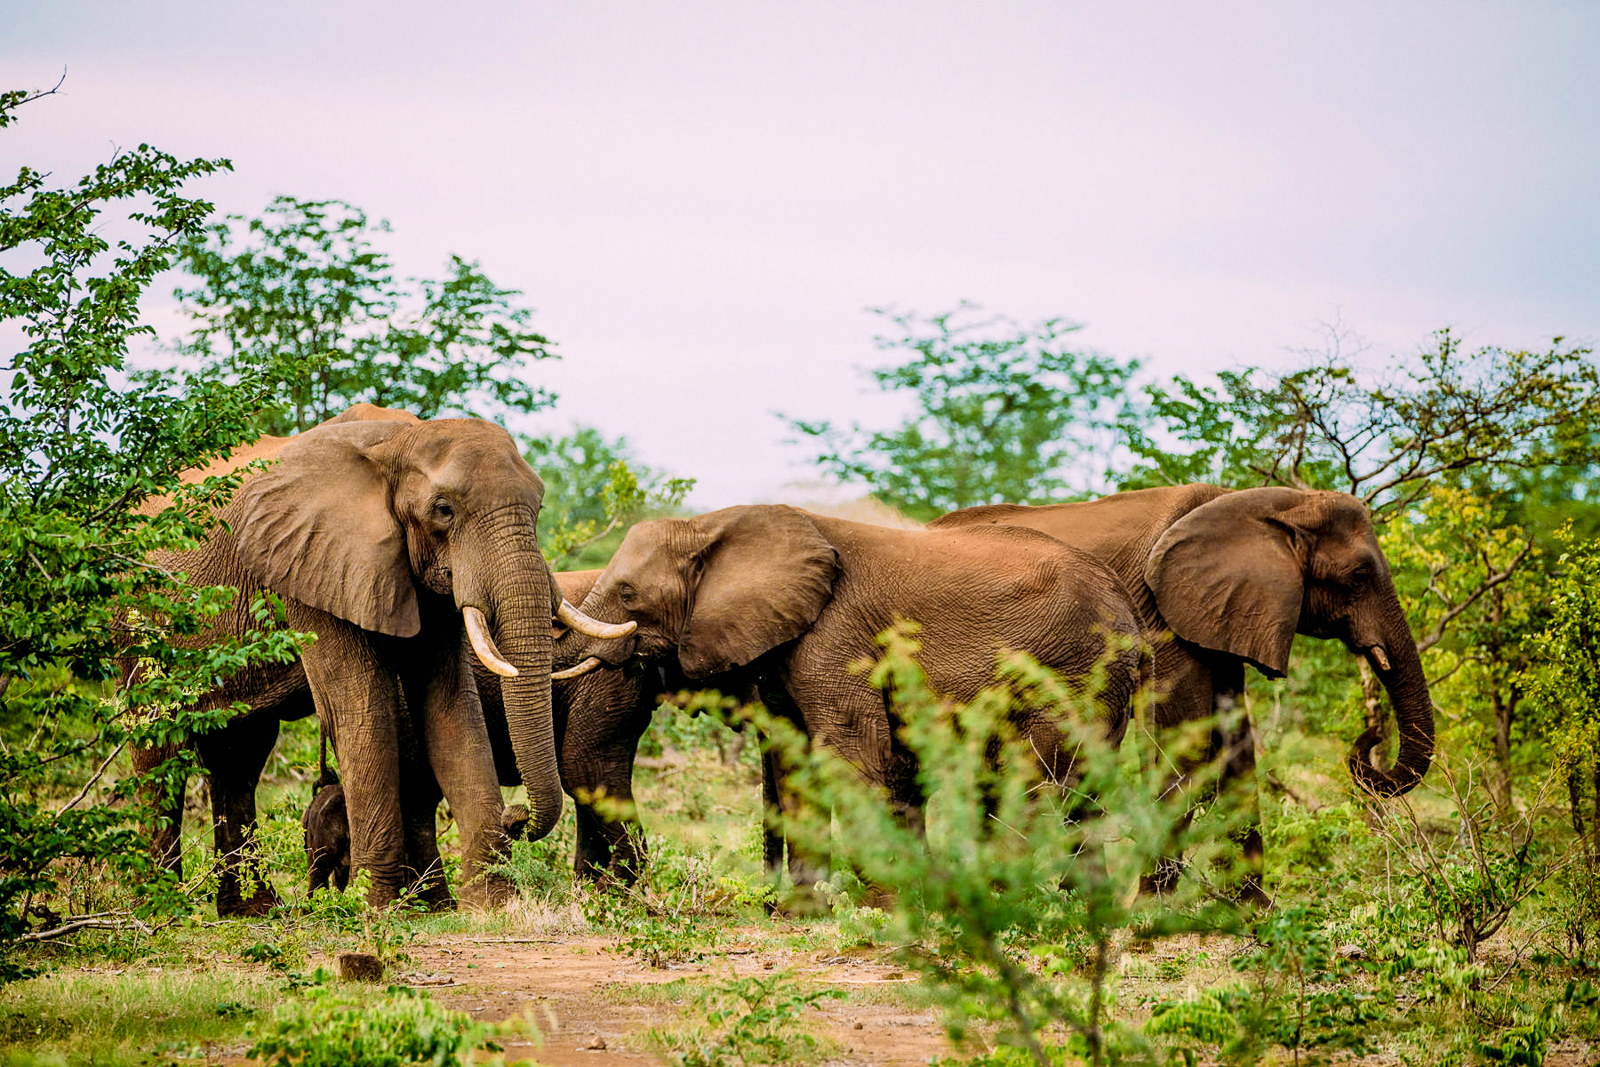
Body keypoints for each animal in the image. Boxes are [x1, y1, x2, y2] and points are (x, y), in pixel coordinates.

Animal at [128, 404, 630, 916]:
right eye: (443, 510)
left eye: (539, 508)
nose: (517, 816)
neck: (400, 442)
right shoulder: (314, 564)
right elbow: (361, 704)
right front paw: (378, 907)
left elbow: (451, 708)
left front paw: (493, 904)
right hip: (140, 619)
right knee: (157, 748)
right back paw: (160, 906)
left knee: (239, 756)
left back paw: (252, 910)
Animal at [552, 504, 1149, 888]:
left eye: (627, 593)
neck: (709, 525)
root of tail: (1130, 609)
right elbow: (795, 762)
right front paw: (803, 914)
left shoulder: (835, 635)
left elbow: (850, 751)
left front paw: (886, 900)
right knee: (1080, 788)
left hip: (1074, 667)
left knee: (1033, 776)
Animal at [929, 484, 1436, 905]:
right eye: (1358, 575)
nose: (1372, 737)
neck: (1270, 504)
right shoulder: (1162, 614)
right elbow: (1186, 745)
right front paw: (1152, 908)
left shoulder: (1222, 614)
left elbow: (1235, 749)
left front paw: (1255, 909)